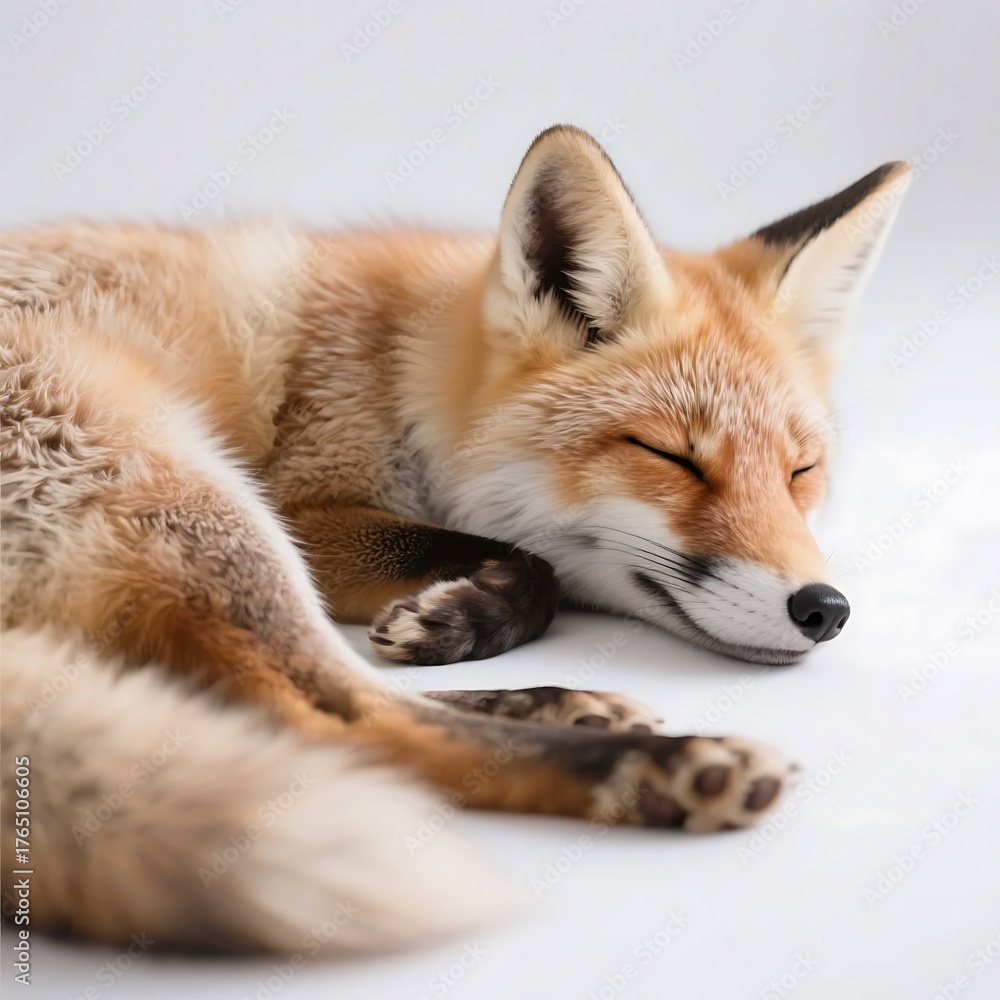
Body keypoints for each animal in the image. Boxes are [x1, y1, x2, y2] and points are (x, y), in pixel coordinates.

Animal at [0, 125, 911, 954]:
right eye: (672, 458)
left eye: (801, 471)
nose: (823, 609)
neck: (394, 364)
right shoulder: (303, 502)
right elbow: (534, 563)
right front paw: (474, 613)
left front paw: (464, 622)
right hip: (207, 498)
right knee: (334, 716)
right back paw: (655, 766)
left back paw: (572, 705)